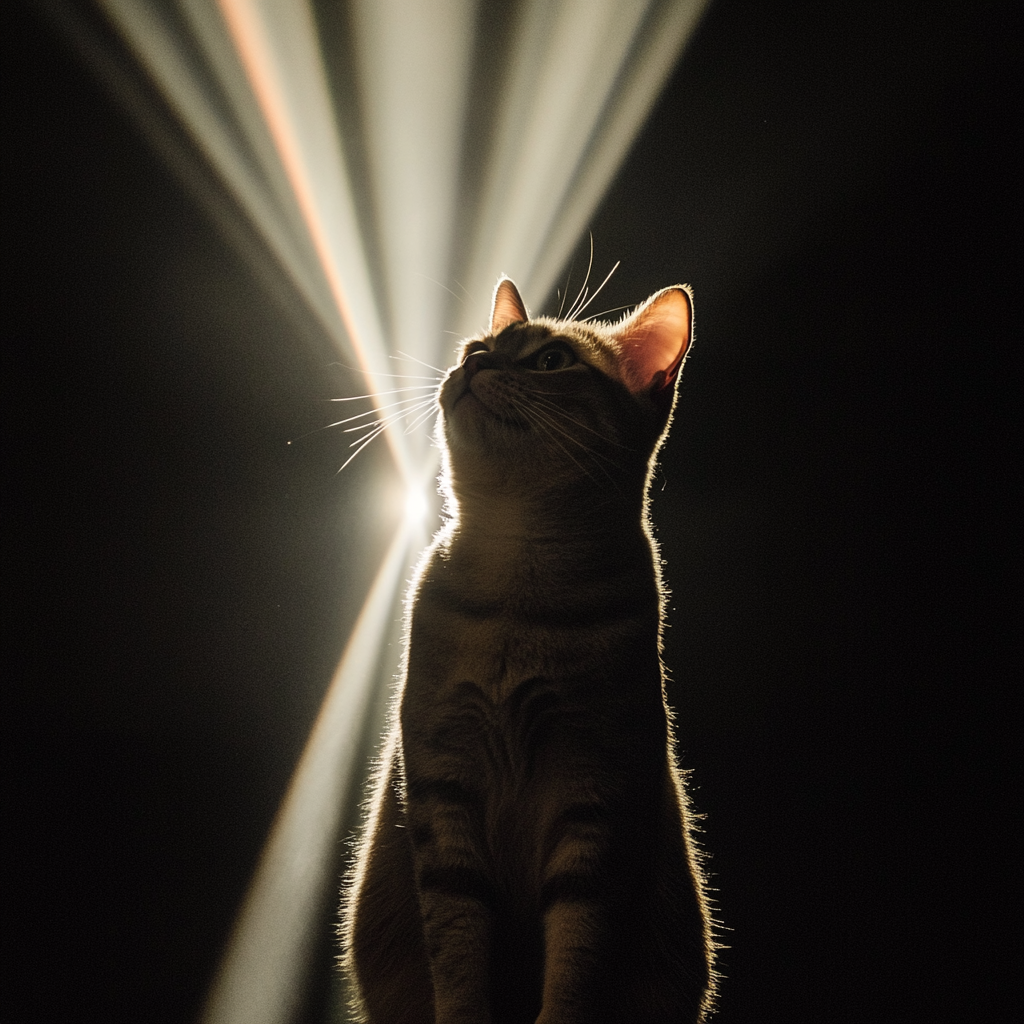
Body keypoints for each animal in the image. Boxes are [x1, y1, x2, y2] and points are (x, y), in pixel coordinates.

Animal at [339, 276, 716, 1019]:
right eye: (477, 348)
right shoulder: (442, 781)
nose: (477, 362)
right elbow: (456, 946)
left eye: (550, 362)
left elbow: (578, 955)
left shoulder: (596, 789)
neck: (517, 591)